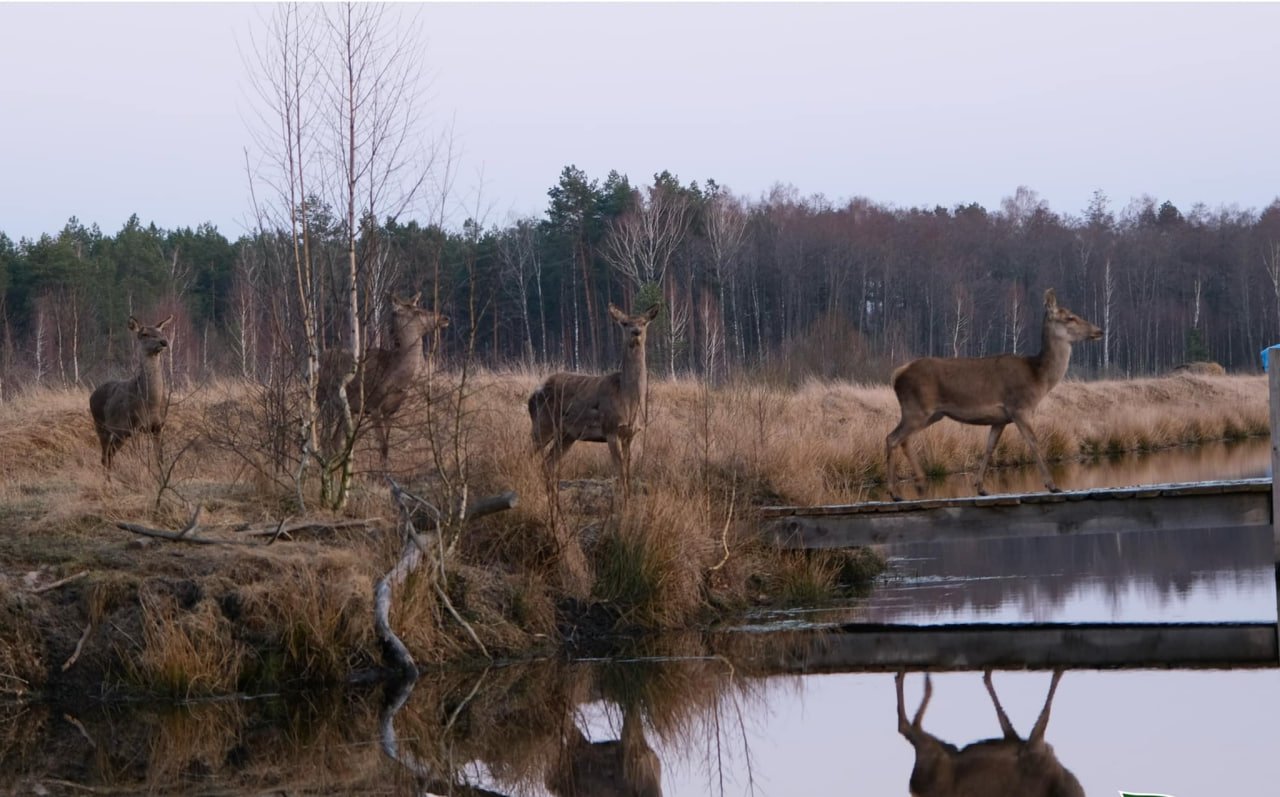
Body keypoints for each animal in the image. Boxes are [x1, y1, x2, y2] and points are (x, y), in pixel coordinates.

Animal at [90, 314, 175, 470]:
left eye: (161, 332)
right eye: (144, 334)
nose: (164, 342)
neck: (151, 403)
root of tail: (92, 395)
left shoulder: (158, 426)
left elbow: (159, 459)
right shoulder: (135, 426)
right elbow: (139, 458)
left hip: (120, 434)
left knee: (110, 454)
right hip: (101, 425)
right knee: (104, 457)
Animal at [320, 292, 450, 468]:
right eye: (417, 310)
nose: (444, 318)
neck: (394, 375)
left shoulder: (391, 411)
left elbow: (387, 446)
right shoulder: (373, 405)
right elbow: (382, 446)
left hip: (347, 409)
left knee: (335, 440)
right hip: (324, 401)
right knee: (323, 437)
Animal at [527, 304, 660, 498]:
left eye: (644, 322)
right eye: (624, 323)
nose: (636, 332)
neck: (628, 399)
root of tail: (532, 396)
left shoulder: (630, 433)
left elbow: (627, 472)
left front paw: (628, 499)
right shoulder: (611, 429)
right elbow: (620, 472)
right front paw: (622, 501)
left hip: (567, 435)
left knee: (548, 462)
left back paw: (553, 498)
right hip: (543, 424)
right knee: (526, 455)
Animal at [885, 286, 1105, 498]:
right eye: (1070, 317)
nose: (1100, 330)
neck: (1038, 377)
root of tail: (897, 374)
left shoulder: (1000, 418)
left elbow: (990, 447)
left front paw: (980, 486)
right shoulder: (1019, 408)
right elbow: (1034, 443)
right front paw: (1052, 485)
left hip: (931, 414)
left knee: (903, 439)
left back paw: (919, 485)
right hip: (917, 408)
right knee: (892, 438)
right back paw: (897, 492)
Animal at [896, 670, 1085, 797]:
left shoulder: (1028, 745)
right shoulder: (1030, 745)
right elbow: (1037, 714)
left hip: (938, 753)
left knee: (908, 727)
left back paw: (921, 682)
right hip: (938, 755)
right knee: (908, 726)